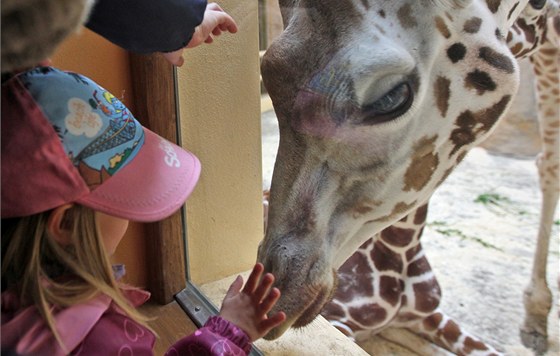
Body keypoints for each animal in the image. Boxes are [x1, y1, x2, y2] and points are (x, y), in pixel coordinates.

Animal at [258, 0, 560, 354]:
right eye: (268, 74)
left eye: (390, 97)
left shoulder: (431, 317)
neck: (402, 251)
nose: (275, 289)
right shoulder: (345, 323)